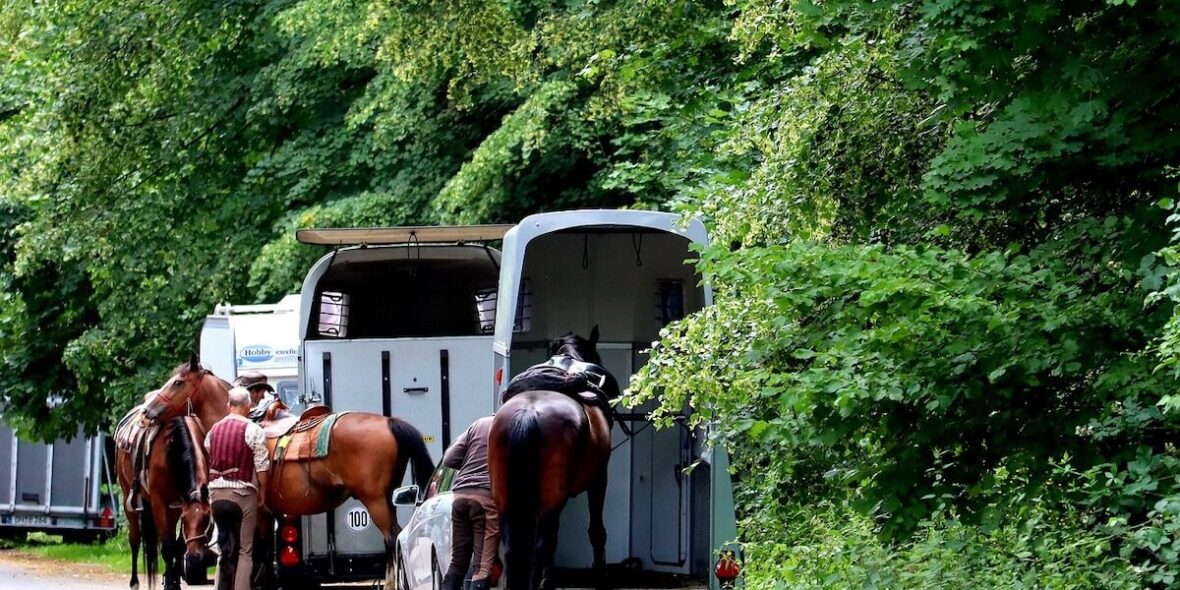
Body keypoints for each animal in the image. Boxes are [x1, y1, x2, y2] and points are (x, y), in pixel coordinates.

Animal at [115, 413, 212, 590]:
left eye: (206, 518)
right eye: (186, 519)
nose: (194, 557)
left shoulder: (180, 504)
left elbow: (178, 545)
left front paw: (173, 582)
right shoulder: (159, 501)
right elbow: (167, 546)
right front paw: (171, 584)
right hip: (128, 498)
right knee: (135, 538)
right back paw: (134, 582)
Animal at [140, 354, 435, 590]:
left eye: (178, 382)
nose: (146, 411)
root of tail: (390, 422)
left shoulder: (257, 510)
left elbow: (257, 551)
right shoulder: (268, 511)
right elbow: (262, 552)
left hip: (375, 501)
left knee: (392, 538)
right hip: (388, 498)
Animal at [488, 328, 619, 590]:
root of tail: (527, 414)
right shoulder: (599, 478)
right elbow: (597, 531)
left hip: (505, 499)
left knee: (515, 550)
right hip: (550, 499)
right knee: (542, 546)